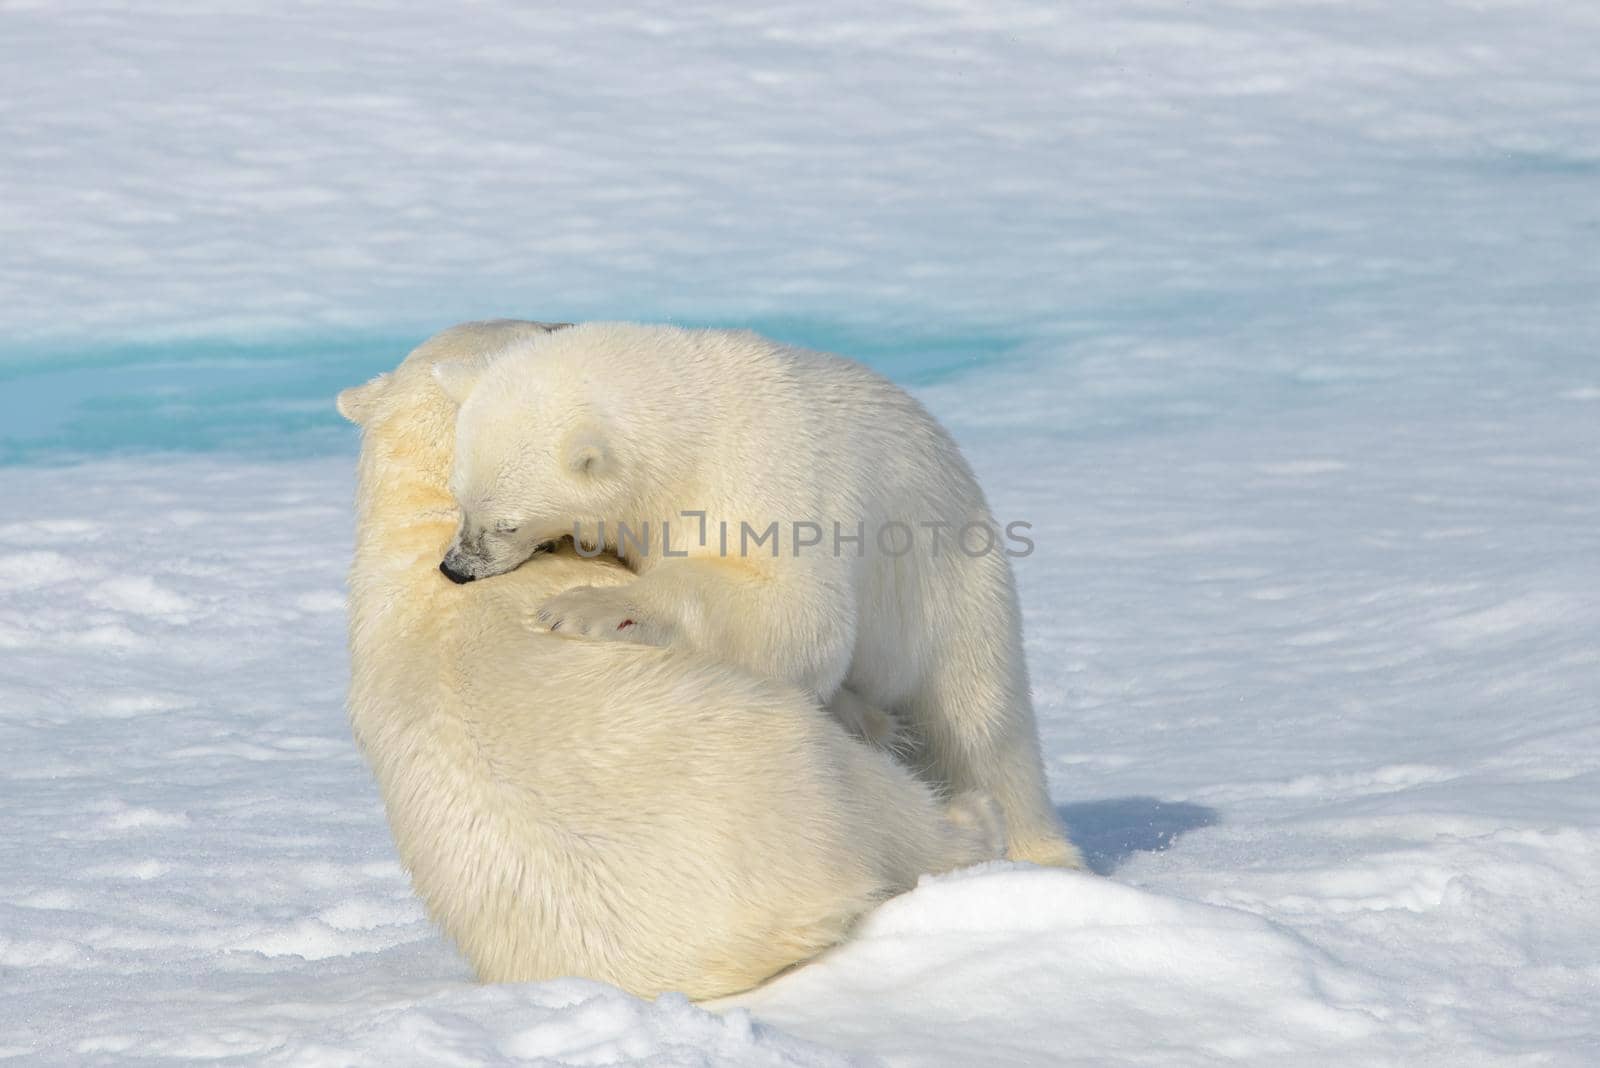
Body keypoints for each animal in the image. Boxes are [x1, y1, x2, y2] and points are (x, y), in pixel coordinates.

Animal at [337, 319, 998, 1004]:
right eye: (540, 327)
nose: (457, 569)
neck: (415, 525)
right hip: (783, 769)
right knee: (879, 804)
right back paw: (965, 815)